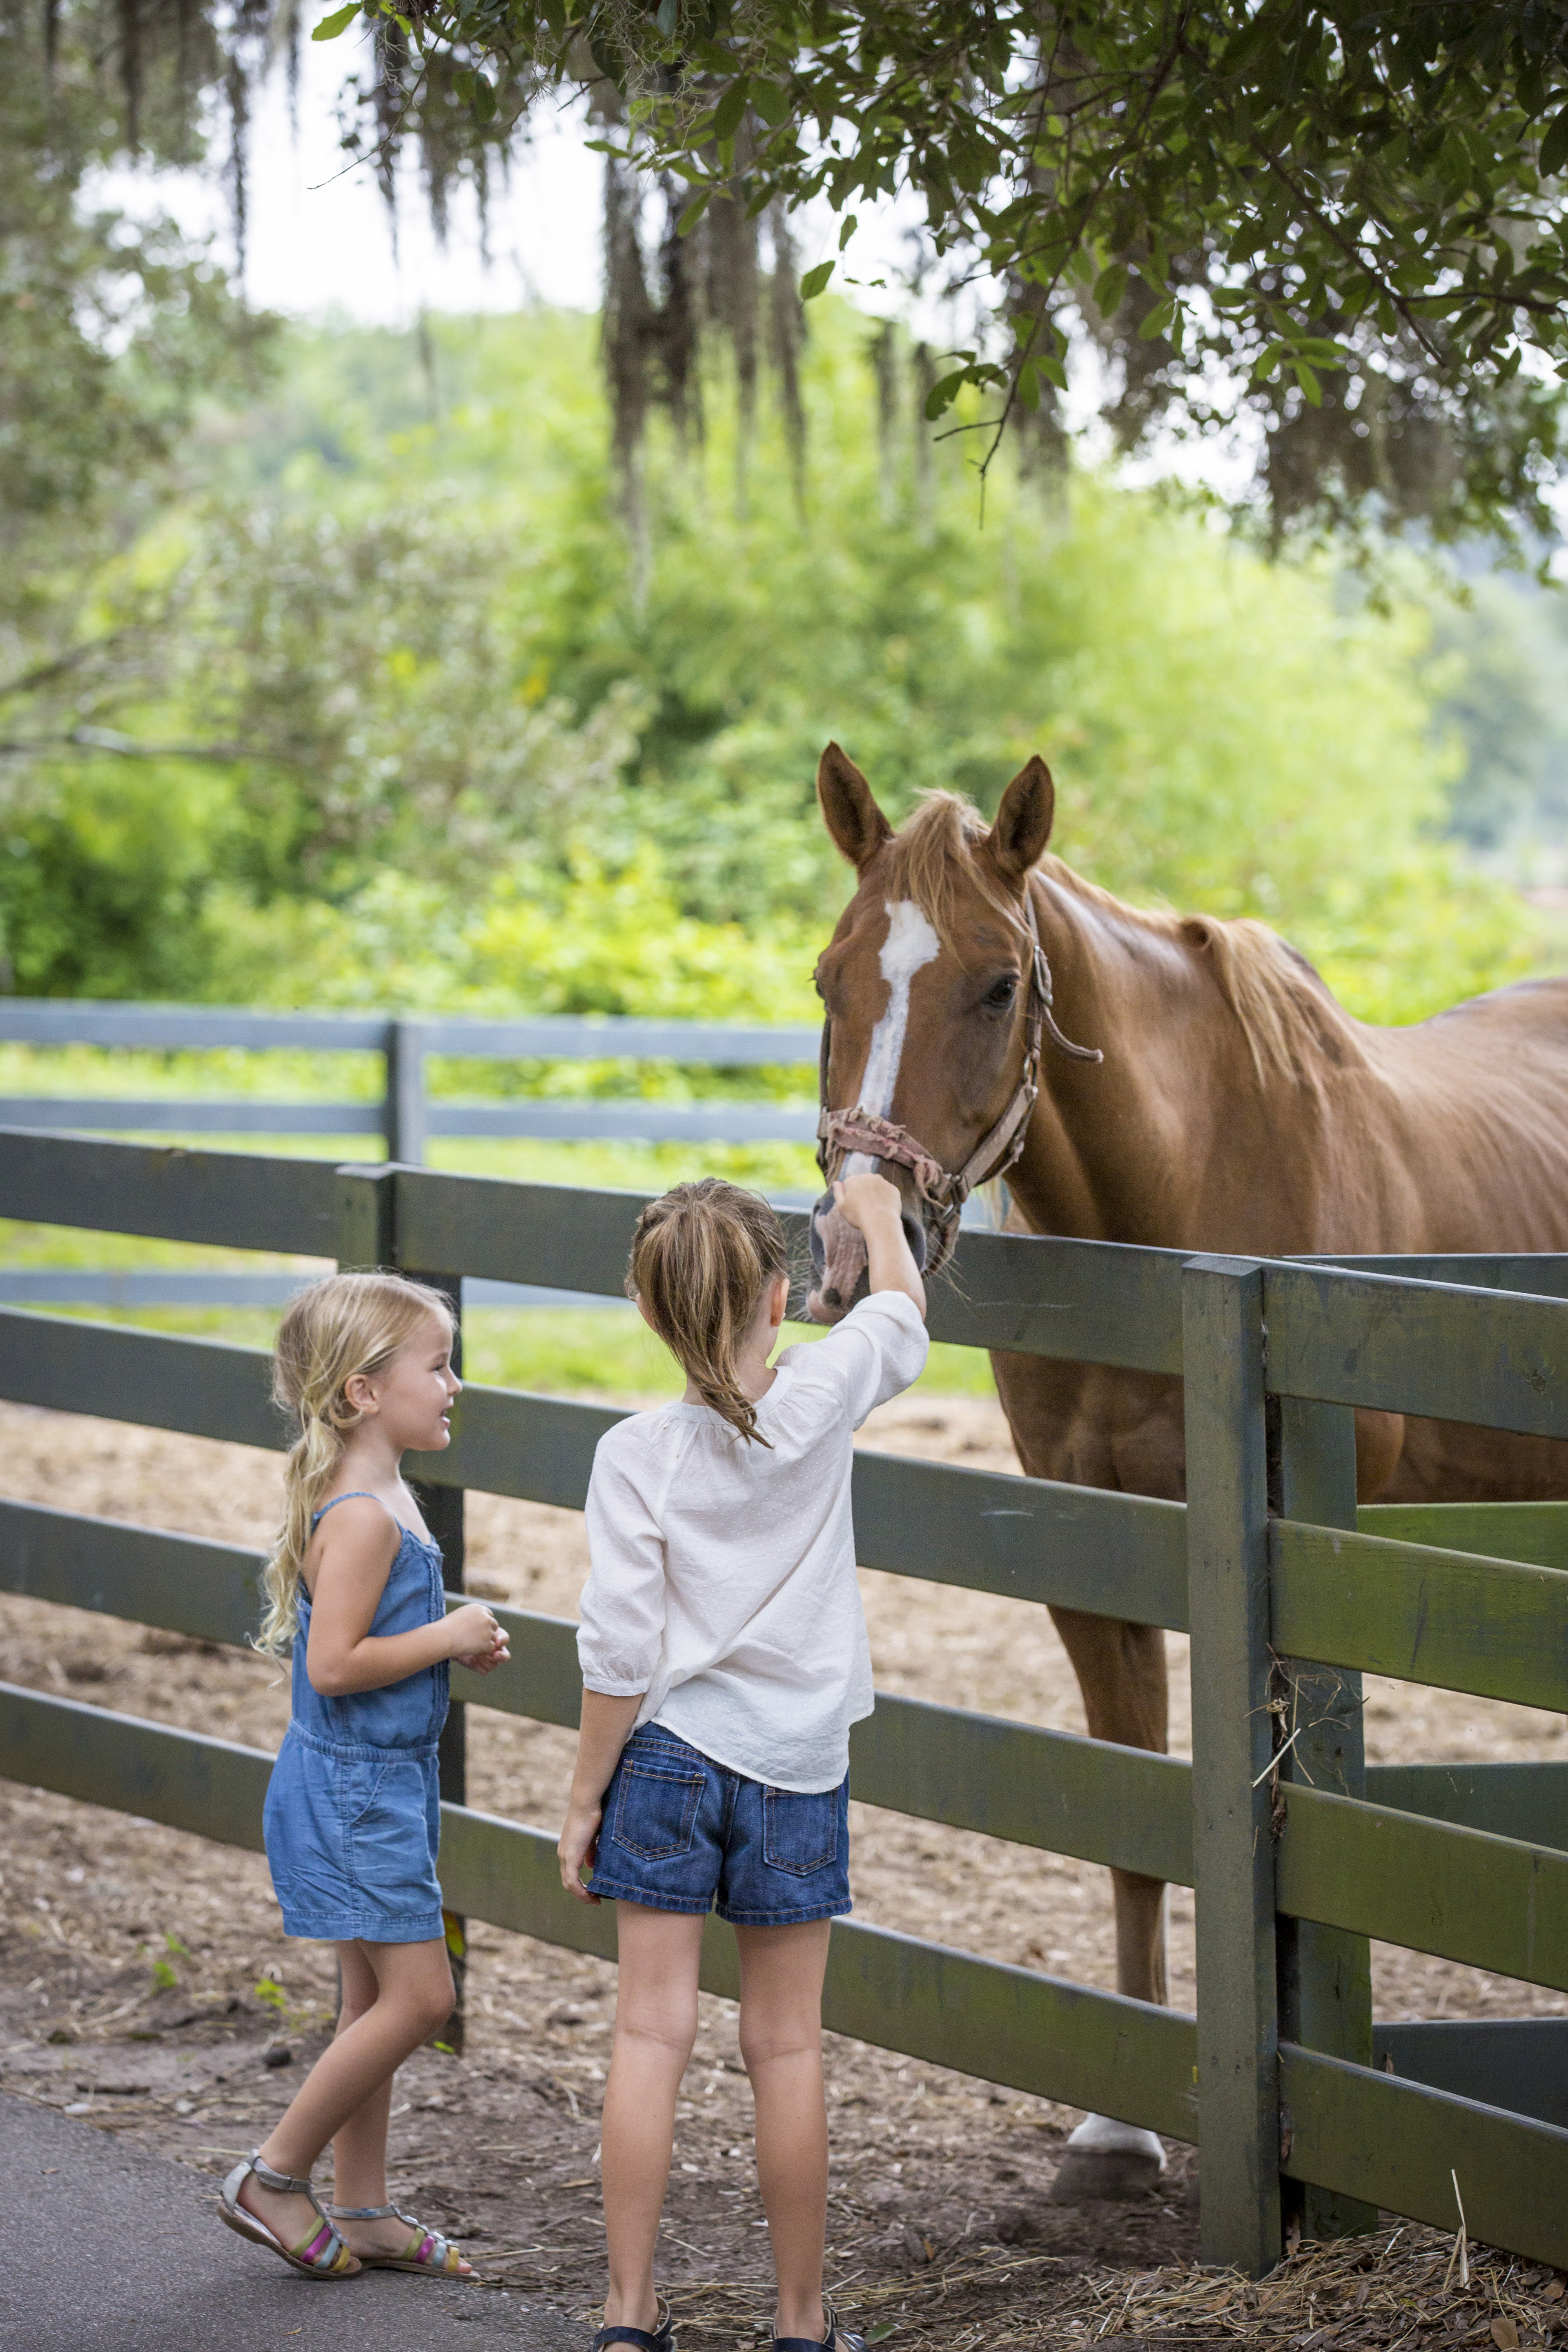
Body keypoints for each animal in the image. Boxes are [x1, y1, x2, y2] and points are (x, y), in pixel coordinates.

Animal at [804, 741, 1568, 2200]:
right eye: (830, 975)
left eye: (999, 983)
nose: (860, 1247)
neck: (1177, 1198)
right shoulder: (1096, 1558)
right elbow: (1131, 1809)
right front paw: (1116, 2132)